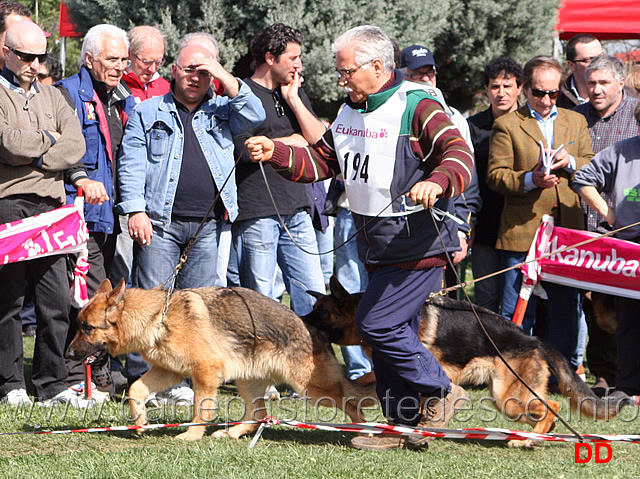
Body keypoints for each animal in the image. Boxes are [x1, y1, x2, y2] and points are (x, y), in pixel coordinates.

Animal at [65, 282, 376, 442]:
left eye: (87, 328)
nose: (67, 355)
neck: (158, 317)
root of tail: (315, 330)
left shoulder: (205, 373)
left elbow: (200, 409)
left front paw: (192, 435)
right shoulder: (168, 372)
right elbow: (135, 390)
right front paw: (140, 421)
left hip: (312, 390)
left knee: (354, 405)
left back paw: (364, 432)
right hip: (247, 383)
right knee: (258, 414)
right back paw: (233, 433)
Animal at [304, 276, 624, 448]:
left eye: (321, 313)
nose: (299, 321)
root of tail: (535, 340)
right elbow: (369, 378)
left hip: (508, 398)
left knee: (552, 406)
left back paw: (527, 440)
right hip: (505, 399)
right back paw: (533, 436)